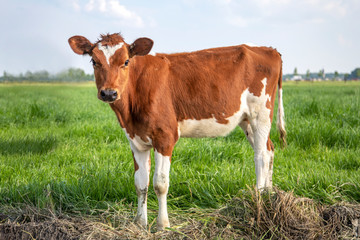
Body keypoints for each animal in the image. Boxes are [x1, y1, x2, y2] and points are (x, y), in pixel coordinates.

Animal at [69, 32, 286, 230]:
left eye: (126, 61)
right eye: (94, 61)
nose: (108, 93)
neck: (130, 111)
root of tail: (269, 49)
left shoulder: (165, 136)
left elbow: (160, 183)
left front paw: (162, 225)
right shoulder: (136, 140)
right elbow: (140, 184)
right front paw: (140, 223)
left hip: (261, 113)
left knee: (261, 156)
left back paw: (259, 201)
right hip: (246, 119)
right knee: (269, 149)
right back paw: (270, 196)